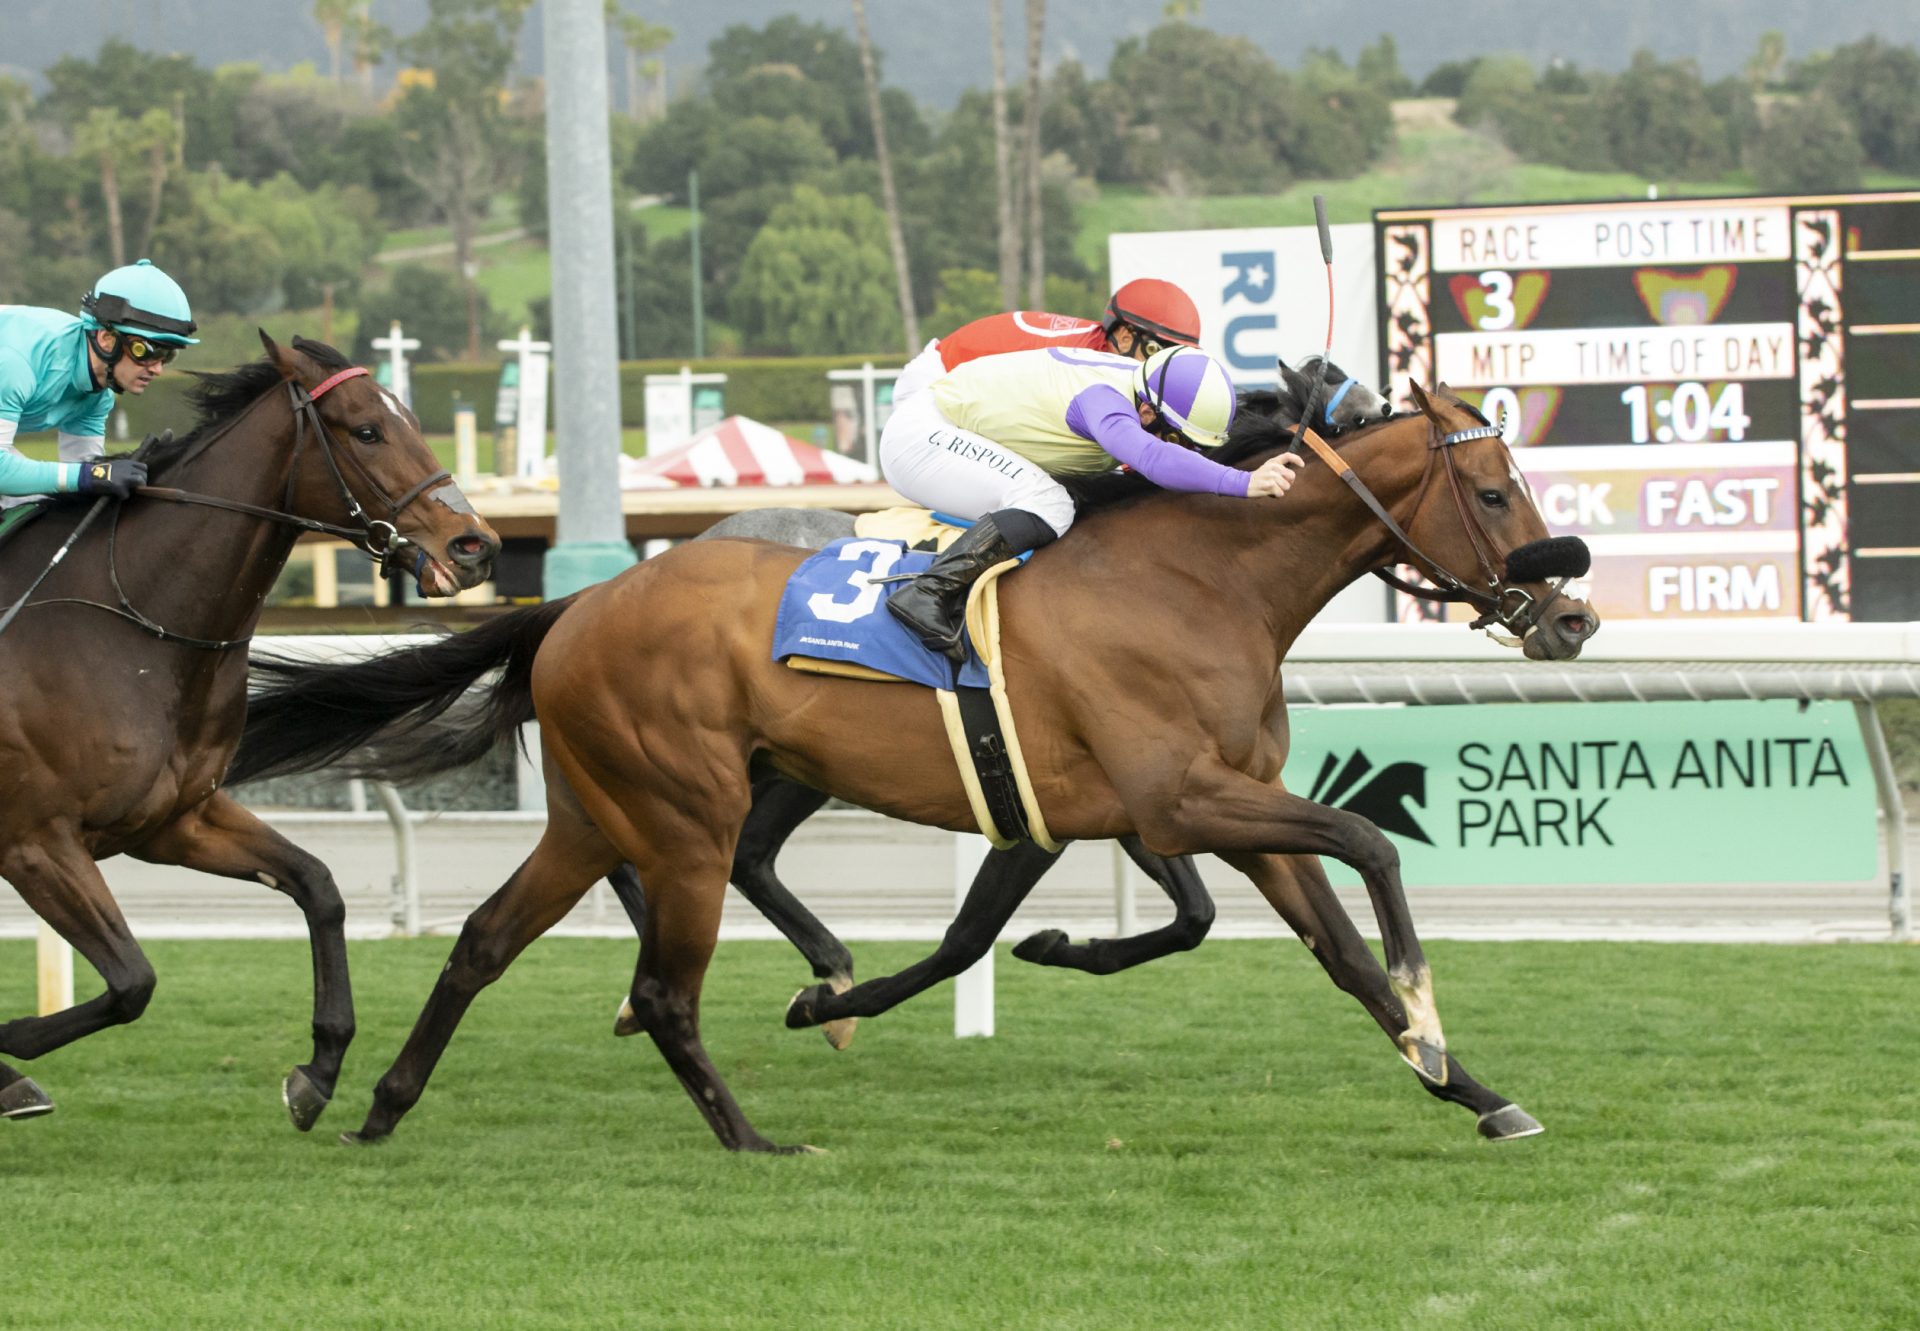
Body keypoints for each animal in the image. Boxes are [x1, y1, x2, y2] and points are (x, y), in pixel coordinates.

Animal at [0, 332, 503, 1121]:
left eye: (414, 419)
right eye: (367, 429)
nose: (475, 546)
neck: (129, 629)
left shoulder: (173, 822)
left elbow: (318, 885)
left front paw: (320, 1067)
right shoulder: (34, 841)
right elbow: (133, 981)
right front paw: (10, 1056)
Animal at [232, 378, 1597, 1144]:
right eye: (1492, 490)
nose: (1572, 616)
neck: (1200, 582)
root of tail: (580, 600)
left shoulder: (1184, 810)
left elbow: (1336, 956)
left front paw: (1474, 1089)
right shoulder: (1180, 798)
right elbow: (1367, 846)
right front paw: (1432, 1020)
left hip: (603, 805)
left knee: (486, 939)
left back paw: (373, 1103)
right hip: (684, 799)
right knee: (675, 939)